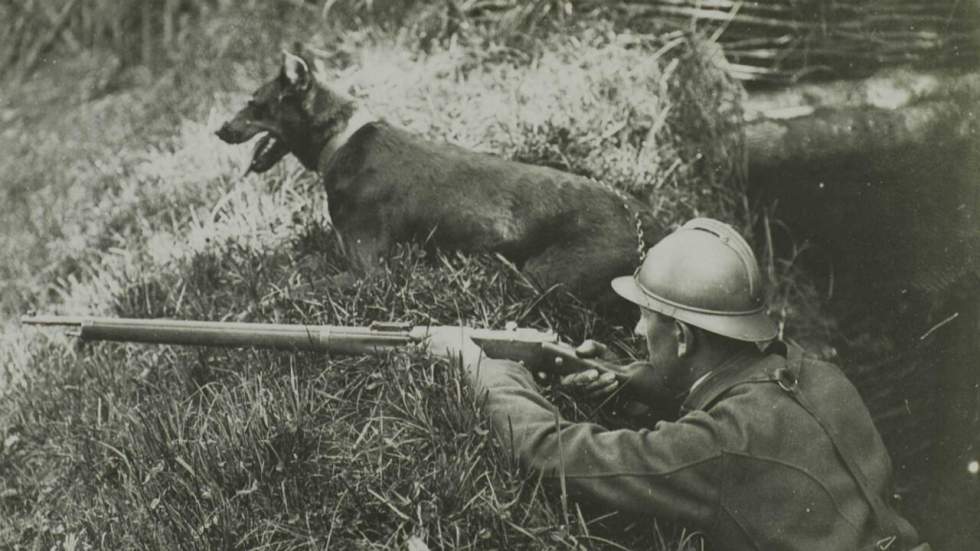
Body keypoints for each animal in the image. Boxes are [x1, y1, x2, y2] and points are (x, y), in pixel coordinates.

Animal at [214, 47, 660, 304]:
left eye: (254, 103)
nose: (219, 130)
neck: (341, 141)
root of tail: (649, 230)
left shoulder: (369, 272)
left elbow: (288, 290)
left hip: (543, 276)